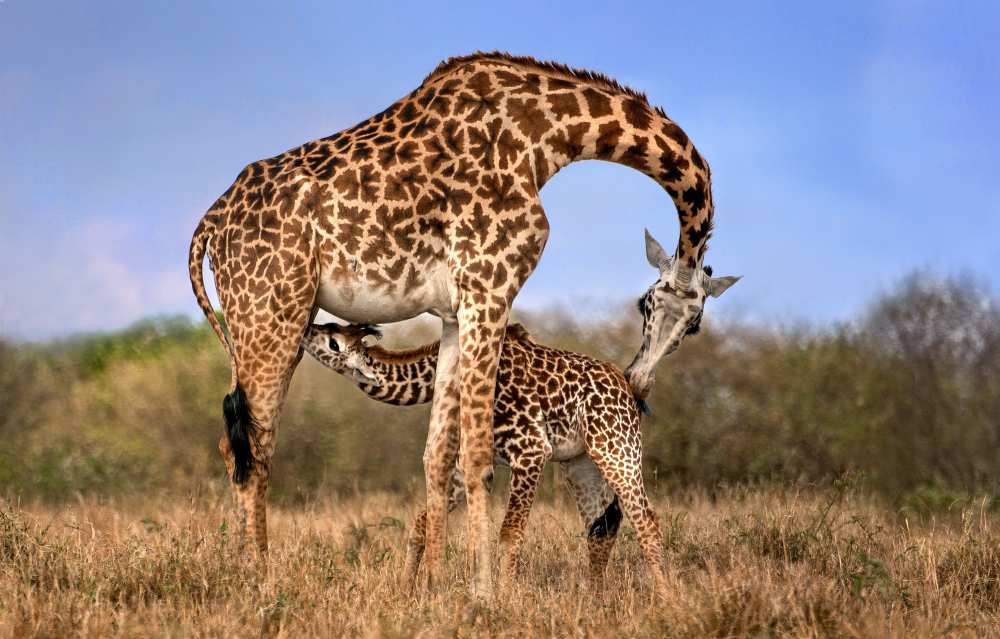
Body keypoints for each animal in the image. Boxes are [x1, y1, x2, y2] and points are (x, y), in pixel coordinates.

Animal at [188, 51, 722, 597]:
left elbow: (438, 455)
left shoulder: (451, 313)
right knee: (252, 445)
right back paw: (259, 580)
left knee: (239, 442)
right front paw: (483, 591)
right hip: (274, 313)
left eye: (691, 324)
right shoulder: (490, 287)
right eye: (646, 305)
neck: (546, 139)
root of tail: (209, 225)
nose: (639, 382)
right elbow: (478, 455)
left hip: (262, 322)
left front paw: (435, 585)